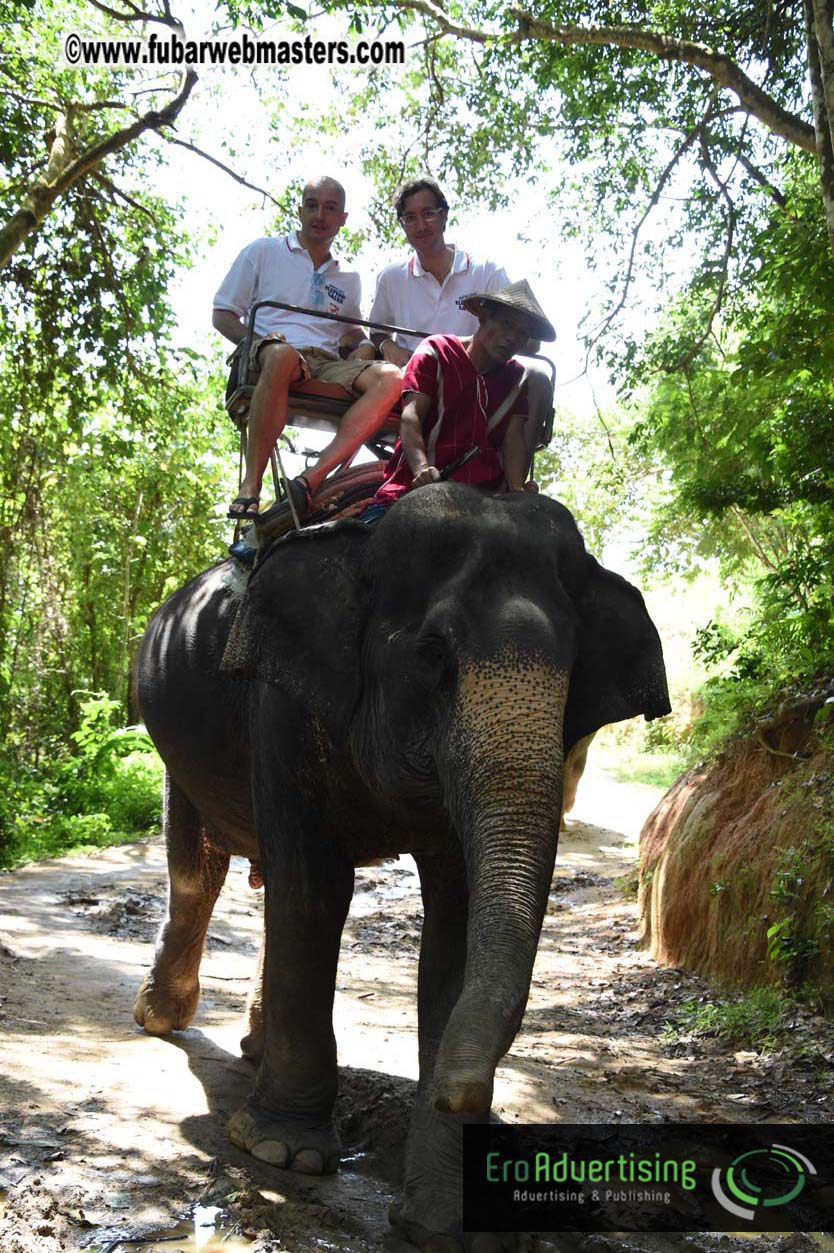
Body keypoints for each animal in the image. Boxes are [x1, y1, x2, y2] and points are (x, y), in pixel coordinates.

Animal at [133, 484, 670, 1251]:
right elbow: (316, 888)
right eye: (433, 654)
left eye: (575, 674)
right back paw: (160, 1018)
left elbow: (459, 925)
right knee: (199, 865)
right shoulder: (280, 701)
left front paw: (447, 1220)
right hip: (179, 737)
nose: (463, 1093)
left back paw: (253, 1047)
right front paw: (282, 1153)